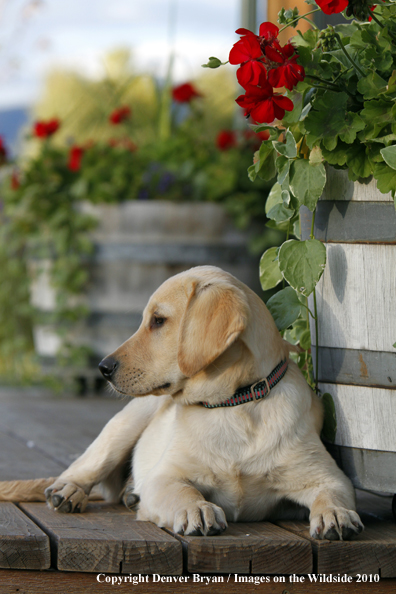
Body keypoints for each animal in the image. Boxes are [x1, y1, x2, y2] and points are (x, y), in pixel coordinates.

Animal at [0, 266, 364, 540]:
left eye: (158, 320)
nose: (103, 367)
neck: (234, 405)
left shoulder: (328, 476)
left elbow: (331, 492)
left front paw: (335, 514)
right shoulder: (166, 476)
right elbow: (183, 491)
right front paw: (196, 509)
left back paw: (128, 493)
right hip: (126, 424)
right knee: (86, 467)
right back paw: (68, 491)